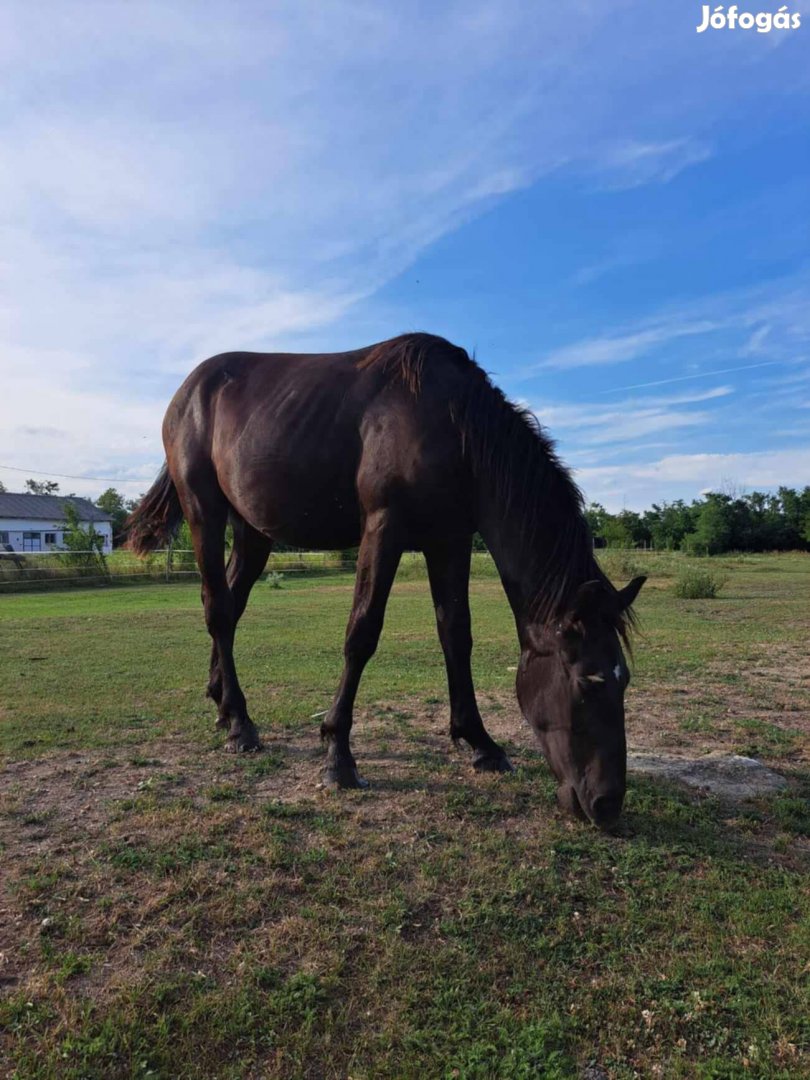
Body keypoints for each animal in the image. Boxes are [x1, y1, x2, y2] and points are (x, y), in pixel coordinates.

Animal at [128, 332, 648, 829]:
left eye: (623, 680)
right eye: (586, 682)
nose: (607, 804)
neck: (456, 426)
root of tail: (188, 391)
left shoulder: (450, 540)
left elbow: (456, 634)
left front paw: (479, 741)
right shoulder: (384, 527)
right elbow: (362, 633)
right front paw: (338, 755)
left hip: (253, 531)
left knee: (230, 608)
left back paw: (221, 703)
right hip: (204, 513)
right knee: (217, 607)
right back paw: (240, 723)